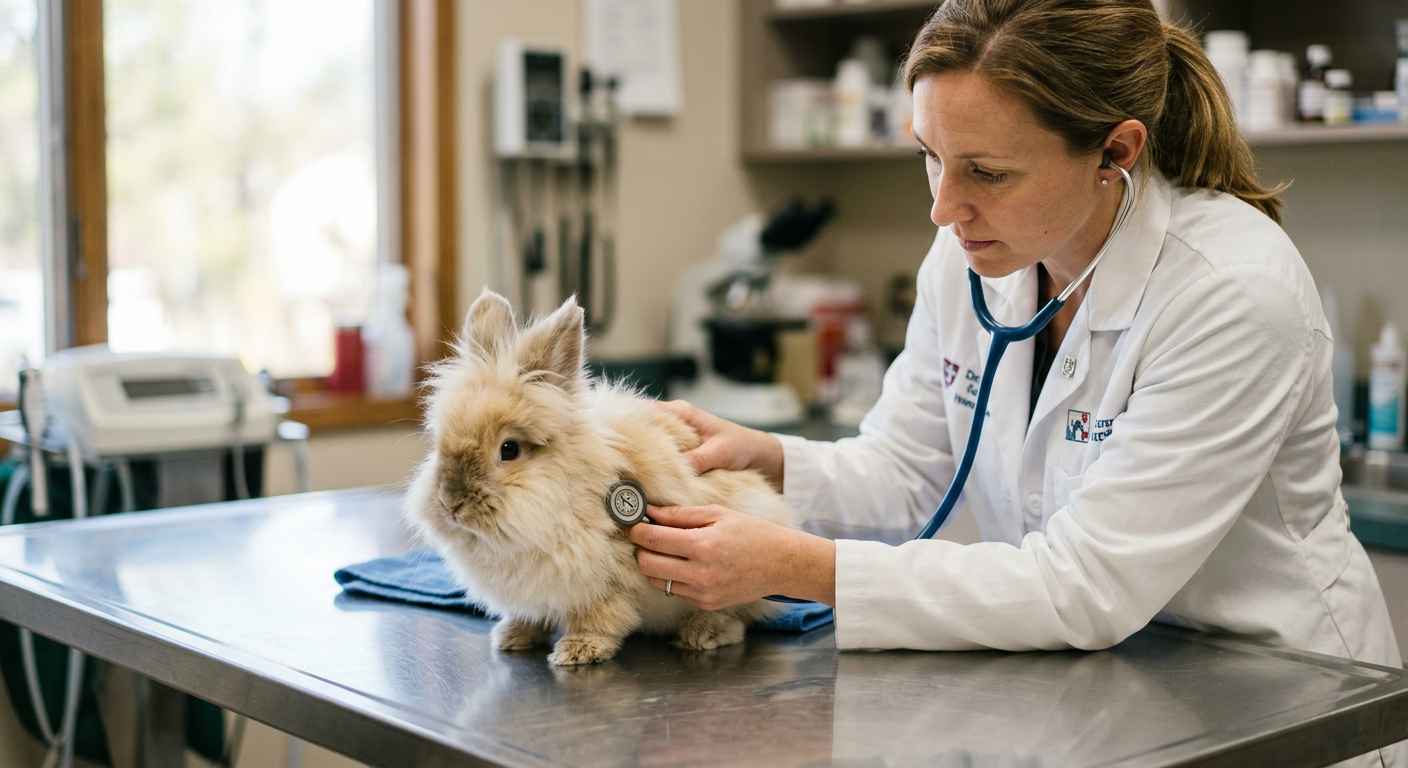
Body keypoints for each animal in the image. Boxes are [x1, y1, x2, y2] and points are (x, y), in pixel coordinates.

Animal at [404, 289, 794, 666]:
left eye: (509, 450)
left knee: (739, 616)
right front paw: (512, 636)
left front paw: (577, 651)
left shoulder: (607, 584)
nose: (450, 504)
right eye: (438, 445)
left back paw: (703, 632)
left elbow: (601, 618)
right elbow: (532, 616)